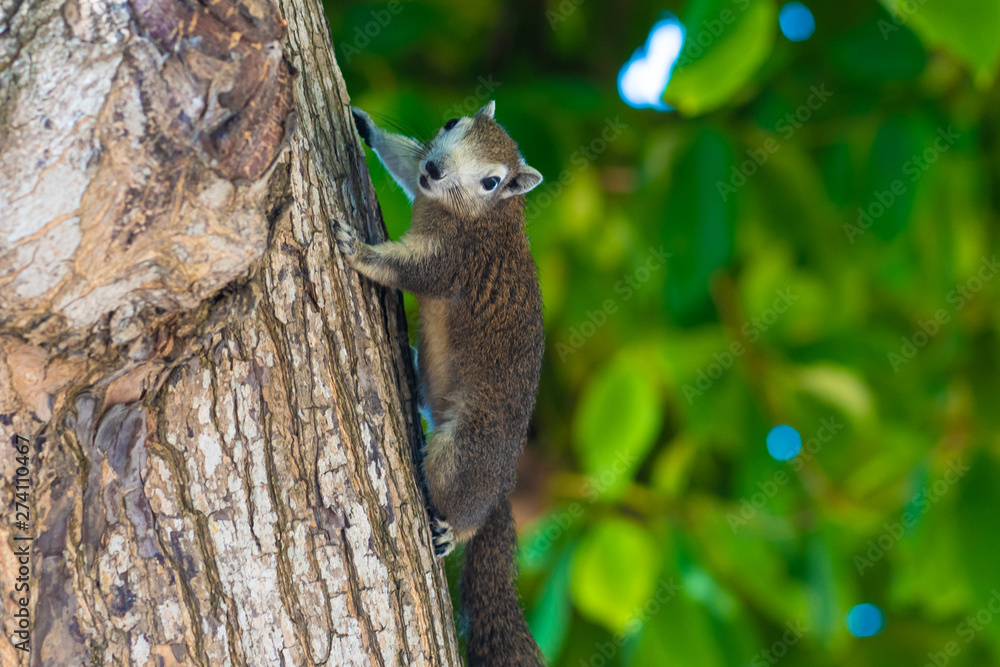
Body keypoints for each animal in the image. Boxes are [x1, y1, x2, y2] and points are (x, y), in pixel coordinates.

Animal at [335, 100, 545, 666]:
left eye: (493, 181)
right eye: (453, 124)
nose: (437, 169)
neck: (482, 215)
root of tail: (503, 483)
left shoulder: (453, 260)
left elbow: (407, 271)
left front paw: (356, 249)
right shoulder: (420, 183)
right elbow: (403, 162)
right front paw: (364, 124)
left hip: (465, 450)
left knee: (461, 495)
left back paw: (454, 530)